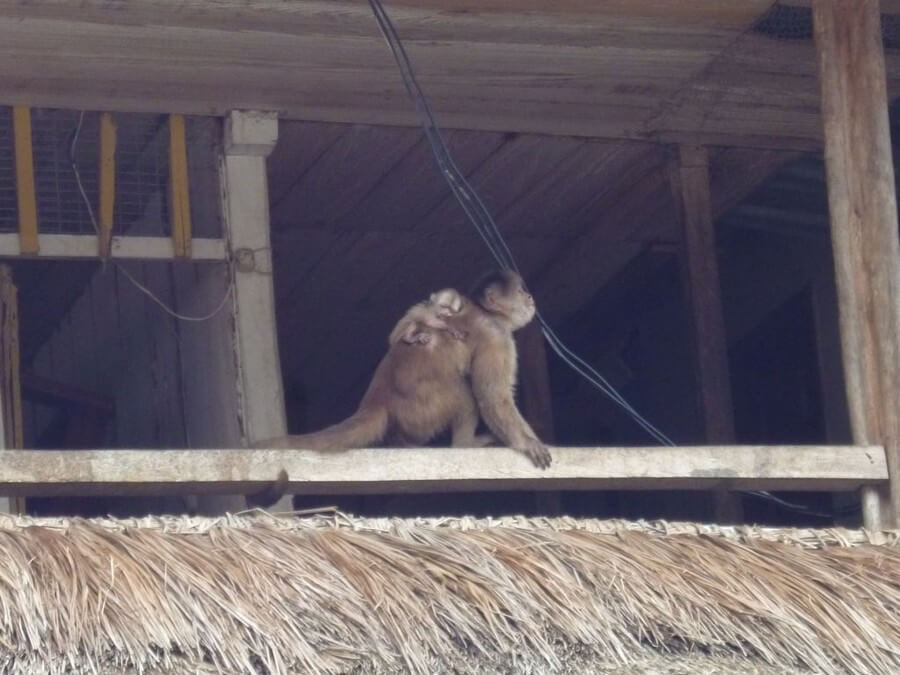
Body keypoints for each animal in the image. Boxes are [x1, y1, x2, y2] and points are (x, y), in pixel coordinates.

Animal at [250, 270, 552, 508]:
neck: (486, 312)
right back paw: (464, 444)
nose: (531, 299)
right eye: (522, 290)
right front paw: (527, 442)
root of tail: (377, 397)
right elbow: (492, 397)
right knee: (464, 393)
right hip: (421, 408)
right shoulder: (496, 335)